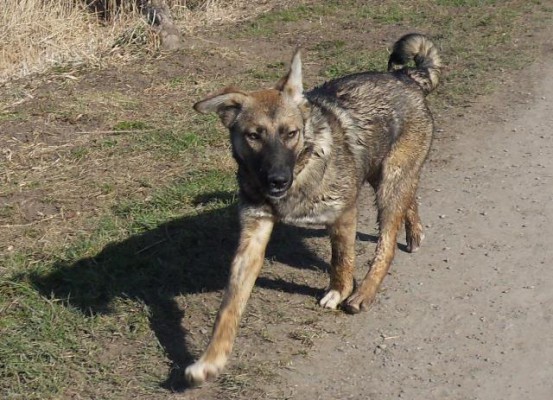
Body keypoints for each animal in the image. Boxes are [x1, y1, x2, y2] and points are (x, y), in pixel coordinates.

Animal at [184, 33, 440, 384]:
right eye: (253, 136)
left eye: (290, 133)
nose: (277, 180)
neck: (301, 170)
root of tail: (405, 76)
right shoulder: (252, 235)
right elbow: (229, 306)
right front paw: (211, 359)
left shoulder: (343, 214)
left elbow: (341, 261)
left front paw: (340, 292)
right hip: (382, 174)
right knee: (409, 199)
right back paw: (414, 232)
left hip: (389, 183)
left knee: (386, 244)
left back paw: (365, 292)